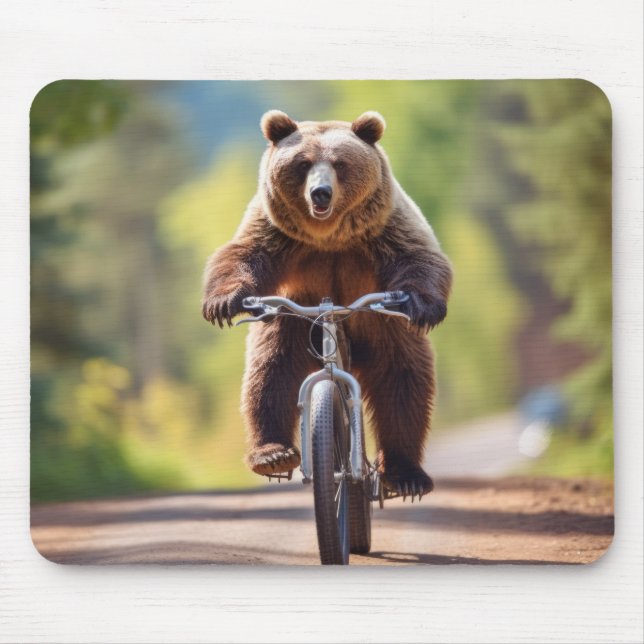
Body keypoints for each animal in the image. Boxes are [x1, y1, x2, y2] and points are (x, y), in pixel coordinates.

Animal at [202, 110, 452, 499]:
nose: (320, 192)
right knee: (269, 372)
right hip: (290, 321)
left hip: (385, 329)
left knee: (404, 382)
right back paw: (272, 453)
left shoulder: (385, 228)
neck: (329, 237)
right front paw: (222, 302)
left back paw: (406, 474)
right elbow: (240, 254)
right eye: (303, 163)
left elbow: (420, 257)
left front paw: (425, 305)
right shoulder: (277, 234)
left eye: (340, 162)